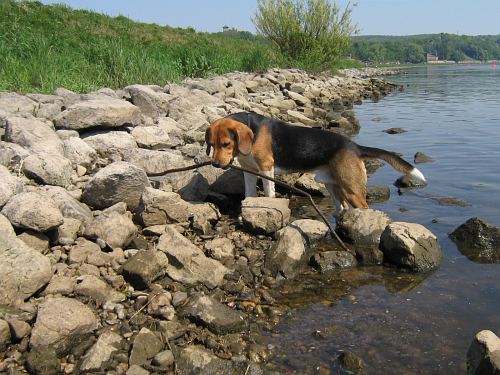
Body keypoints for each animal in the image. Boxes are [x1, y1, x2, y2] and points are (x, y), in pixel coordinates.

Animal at [205, 111, 424, 214]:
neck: (253, 130)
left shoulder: (266, 169)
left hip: (352, 189)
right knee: (342, 207)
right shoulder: (249, 171)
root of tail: (354, 146)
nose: (215, 164)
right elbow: (249, 194)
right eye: (211, 144)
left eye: (226, 144)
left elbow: (269, 192)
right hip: (332, 185)